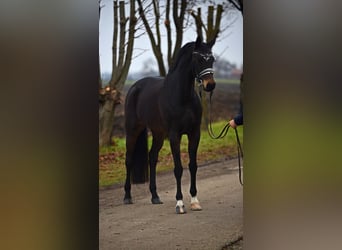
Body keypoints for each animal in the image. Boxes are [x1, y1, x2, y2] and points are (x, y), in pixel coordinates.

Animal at [123, 35, 215, 213]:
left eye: (212, 59)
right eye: (199, 59)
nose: (210, 85)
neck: (183, 96)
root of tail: (135, 87)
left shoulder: (194, 133)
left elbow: (193, 166)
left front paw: (194, 201)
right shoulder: (174, 135)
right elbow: (178, 168)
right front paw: (179, 203)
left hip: (158, 133)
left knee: (152, 157)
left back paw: (155, 196)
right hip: (132, 130)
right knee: (129, 160)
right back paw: (127, 196)